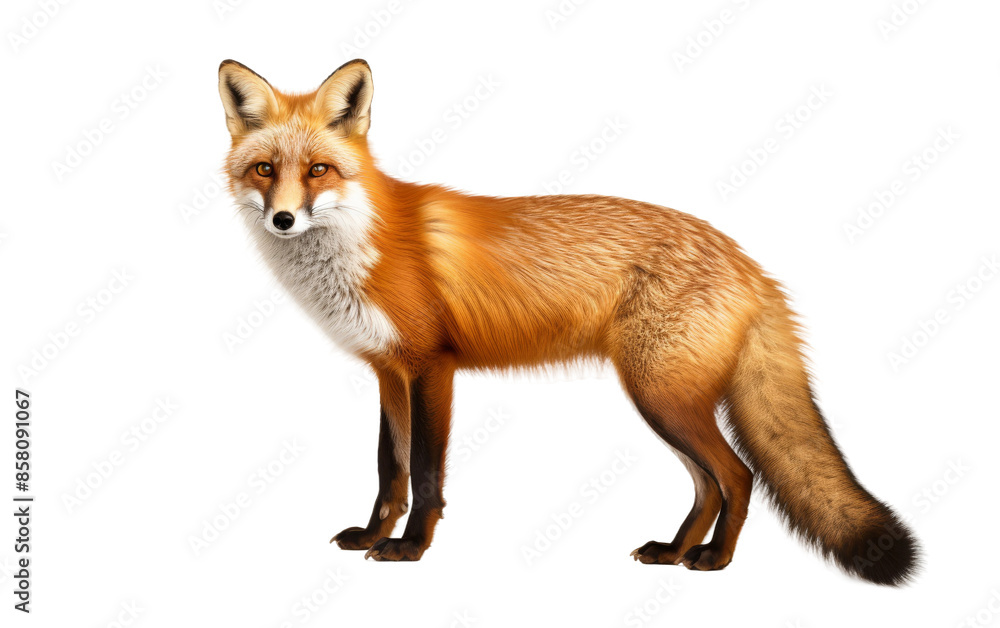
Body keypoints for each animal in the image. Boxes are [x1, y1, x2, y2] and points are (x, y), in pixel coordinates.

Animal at [217, 58, 919, 585]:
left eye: (318, 170)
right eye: (264, 169)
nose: (283, 219)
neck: (364, 242)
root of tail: (749, 262)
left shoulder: (432, 368)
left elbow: (425, 473)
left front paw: (410, 549)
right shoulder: (390, 372)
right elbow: (390, 469)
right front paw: (371, 535)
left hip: (662, 397)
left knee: (737, 476)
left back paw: (714, 560)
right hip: (665, 400)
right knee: (709, 485)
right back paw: (674, 551)